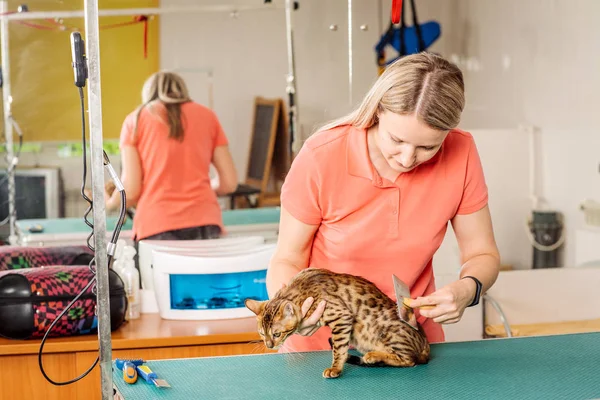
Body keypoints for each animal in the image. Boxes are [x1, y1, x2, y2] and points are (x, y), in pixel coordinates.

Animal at [244, 268, 432, 378]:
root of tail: (424, 341)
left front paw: (335, 368)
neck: (299, 289)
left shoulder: (341, 317)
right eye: (262, 333)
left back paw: (373, 356)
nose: (269, 345)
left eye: (277, 334)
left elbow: (338, 349)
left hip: (386, 331)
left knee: (409, 360)